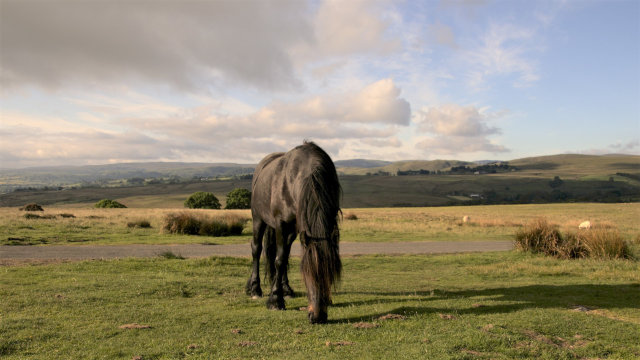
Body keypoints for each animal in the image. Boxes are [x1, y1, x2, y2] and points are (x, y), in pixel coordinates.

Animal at [246, 141, 342, 324]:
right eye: (307, 272)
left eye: (330, 271)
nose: (317, 317)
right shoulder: (281, 224)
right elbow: (279, 261)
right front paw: (275, 300)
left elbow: (282, 260)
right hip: (258, 219)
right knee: (256, 249)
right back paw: (255, 289)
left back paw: (286, 289)